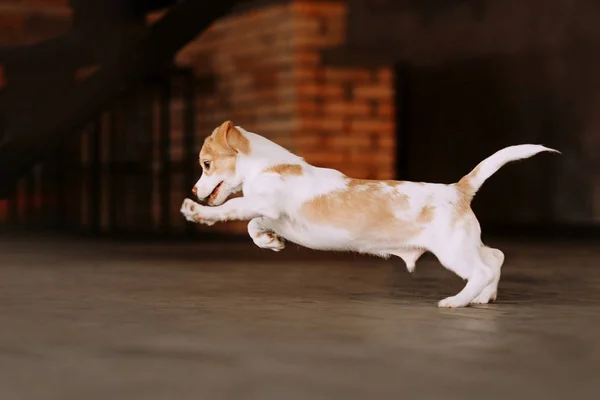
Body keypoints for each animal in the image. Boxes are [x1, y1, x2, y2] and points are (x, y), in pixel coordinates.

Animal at [180, 120, 560, 308]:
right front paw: (270, 242)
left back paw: (456, 301)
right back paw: (485, 297)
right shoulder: (272, 214)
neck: (269, 165)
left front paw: (195, 212)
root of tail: (459, 189)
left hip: (453, 251)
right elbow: (253, 225)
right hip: (466, 243)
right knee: (495, 257)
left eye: (206, 164)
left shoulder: (263, 202)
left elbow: (232, 209)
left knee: (482, 269)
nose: (195, 192)